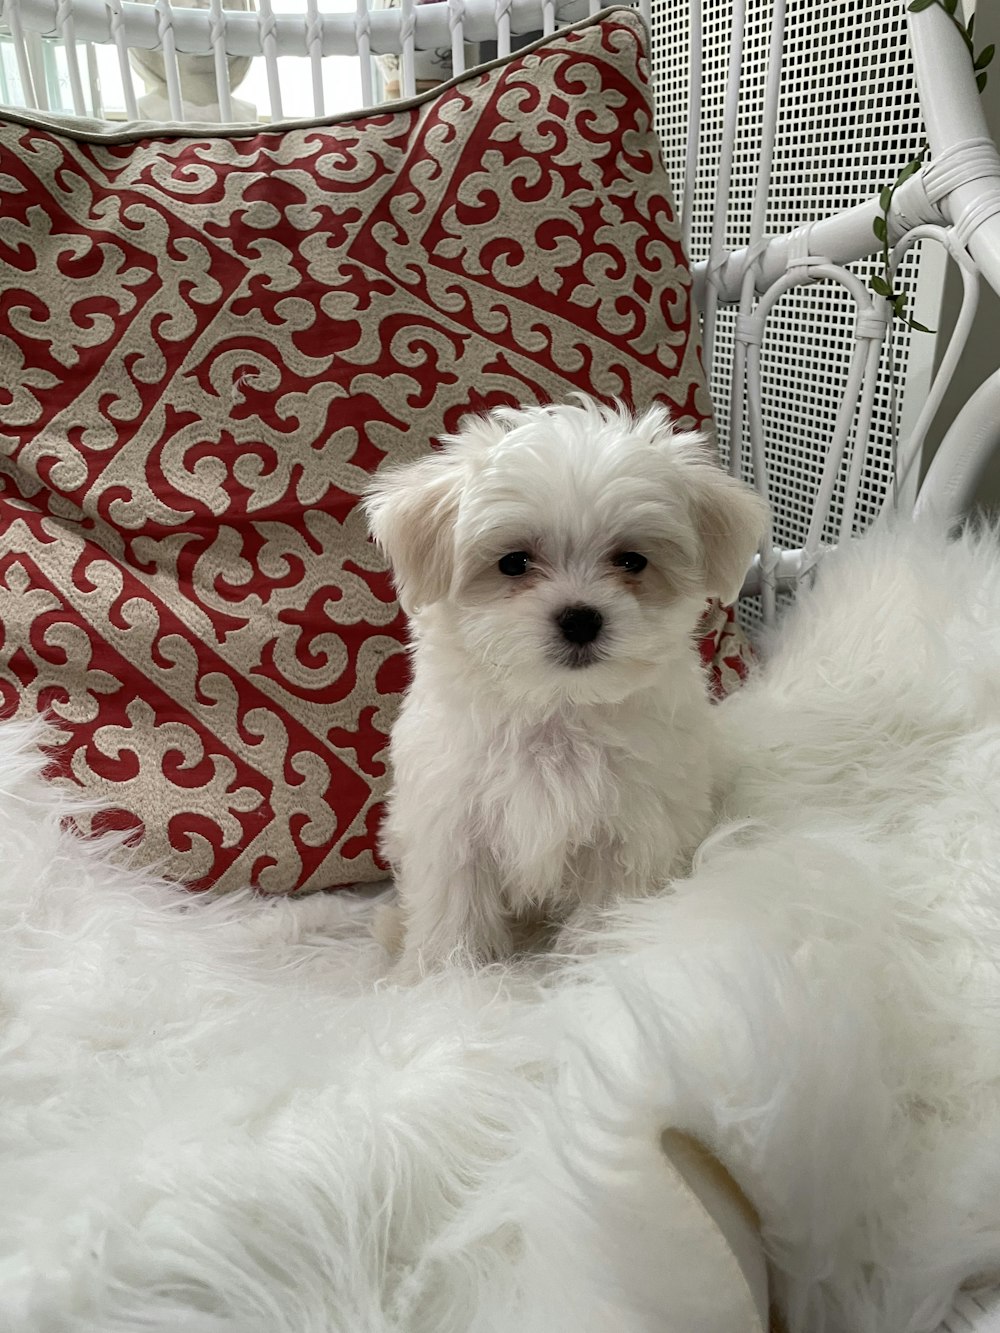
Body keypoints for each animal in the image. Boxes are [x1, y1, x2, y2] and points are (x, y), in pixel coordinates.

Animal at [365, 397, 768, 981]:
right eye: (513, 562)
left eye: (632, 561)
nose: (580, 618)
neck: (559, 709)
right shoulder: (453, 824)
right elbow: (453, 910)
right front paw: (445, 980)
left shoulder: (627, 833)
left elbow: (603, 915)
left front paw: (586, 977)